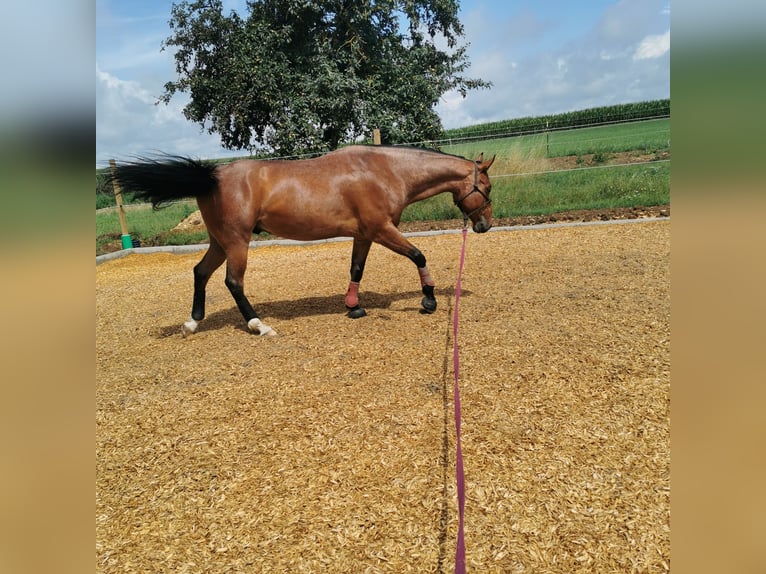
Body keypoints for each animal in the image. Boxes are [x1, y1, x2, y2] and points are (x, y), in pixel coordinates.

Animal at [110, 145, 495, 336]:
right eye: (487, 188)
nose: (485, 225)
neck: (384, 170)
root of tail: (211, 175)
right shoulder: (382, 229)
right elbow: (418, 255)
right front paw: (428, 300)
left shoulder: (363, 234)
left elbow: (356, 268)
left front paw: (353, 306)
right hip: (236, 242)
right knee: (233, 281)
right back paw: (258, 325)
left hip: (219, 242)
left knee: (200, 272)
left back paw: (193, 322)